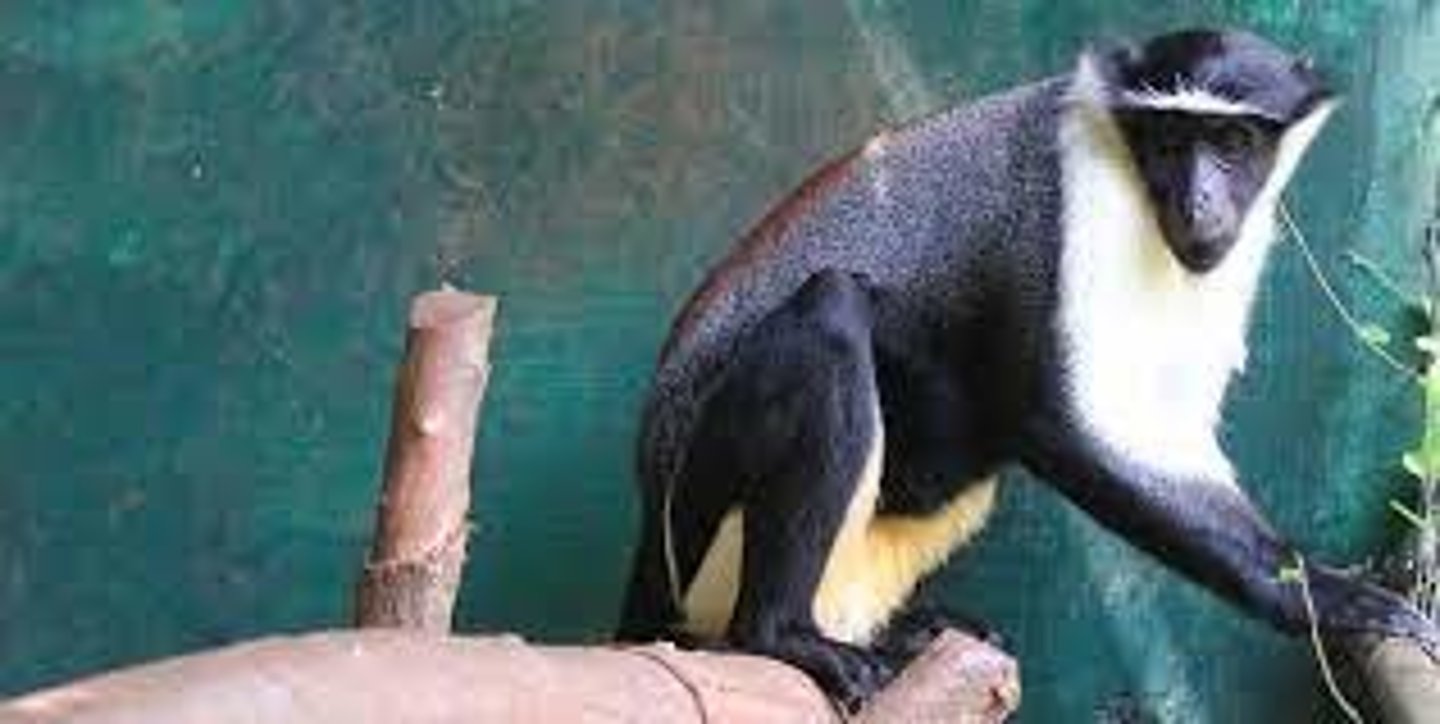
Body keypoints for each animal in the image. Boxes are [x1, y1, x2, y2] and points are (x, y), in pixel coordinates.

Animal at [616, 28, 1440, 709]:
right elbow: (1070, 419)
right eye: (1169, 140)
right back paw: (781, 635)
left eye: (1232, 139)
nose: (1200, 198)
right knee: (832, 313)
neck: (1127, 166)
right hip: (708, 520)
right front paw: (1321, 596)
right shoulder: (1077, 211)